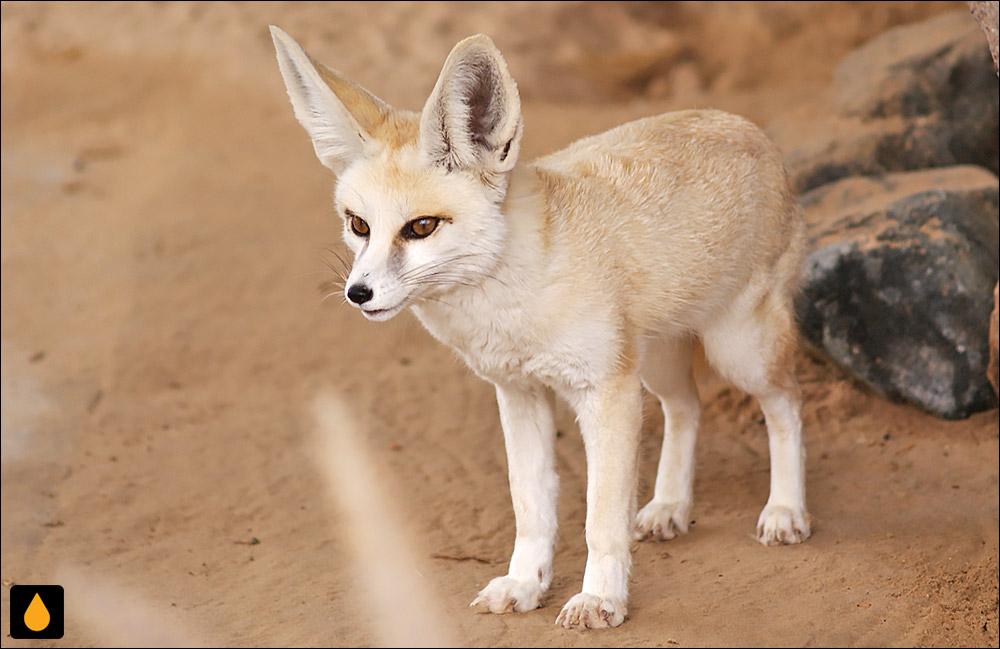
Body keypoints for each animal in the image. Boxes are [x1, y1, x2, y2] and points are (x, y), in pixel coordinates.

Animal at [272, 27, 812, 632]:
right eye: (358, 225)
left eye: (421, 227)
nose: (357, 294)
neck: (511, 303)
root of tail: (743, 124)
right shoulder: (519, 393)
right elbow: (530, 506)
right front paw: (526, 584)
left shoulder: (606, 393)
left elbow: (601, 519)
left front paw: (600, 598)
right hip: (657, 366)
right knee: (688, 407)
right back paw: (672, 505)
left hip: (738, 351)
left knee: (787, 403)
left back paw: (785, 509)